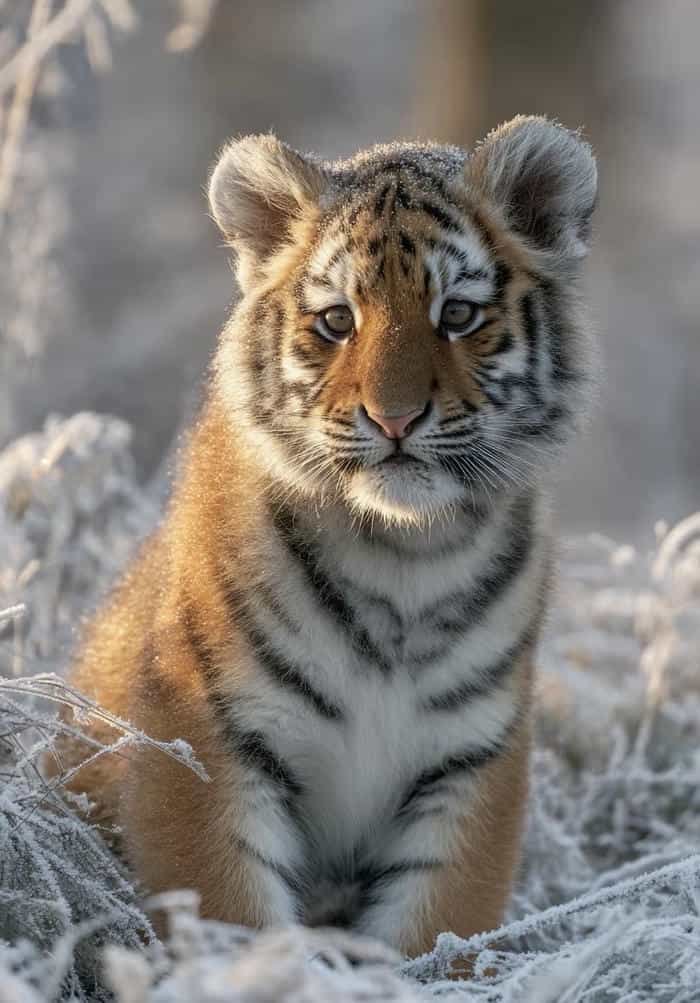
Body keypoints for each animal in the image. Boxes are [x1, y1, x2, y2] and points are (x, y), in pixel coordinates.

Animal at [53, 116, 597, 956]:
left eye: (458, 315)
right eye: (338, 320)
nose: (395, 418)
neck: (408, 554)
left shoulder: (474, 757)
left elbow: (438, 931)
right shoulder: (200, 736)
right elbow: (229, 918)